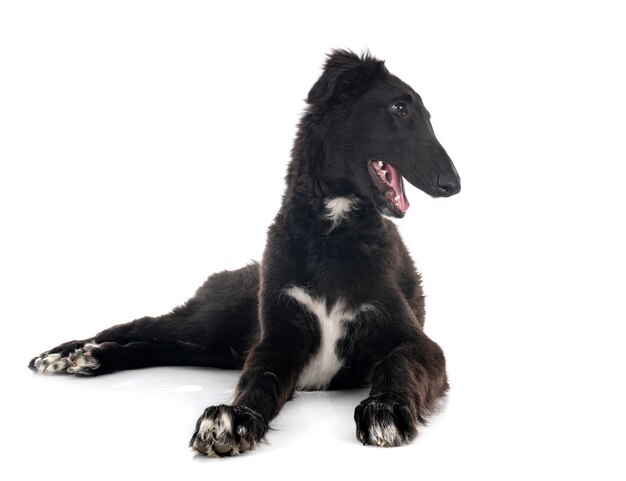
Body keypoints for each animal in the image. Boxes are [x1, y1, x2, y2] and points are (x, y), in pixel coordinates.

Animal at [29, 50, 458, 456]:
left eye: (427, 116)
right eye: (400, 109)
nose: (454, 184)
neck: (331, 237)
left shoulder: (414, 341)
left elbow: (398, 365)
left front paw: (386, 408)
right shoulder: (277, 336)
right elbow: (258, 379)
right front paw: (235, 417)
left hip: (217, 345)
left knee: (159, 345)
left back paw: (93, 357)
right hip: (214, 319)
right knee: (139, 327)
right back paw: (66, 354)